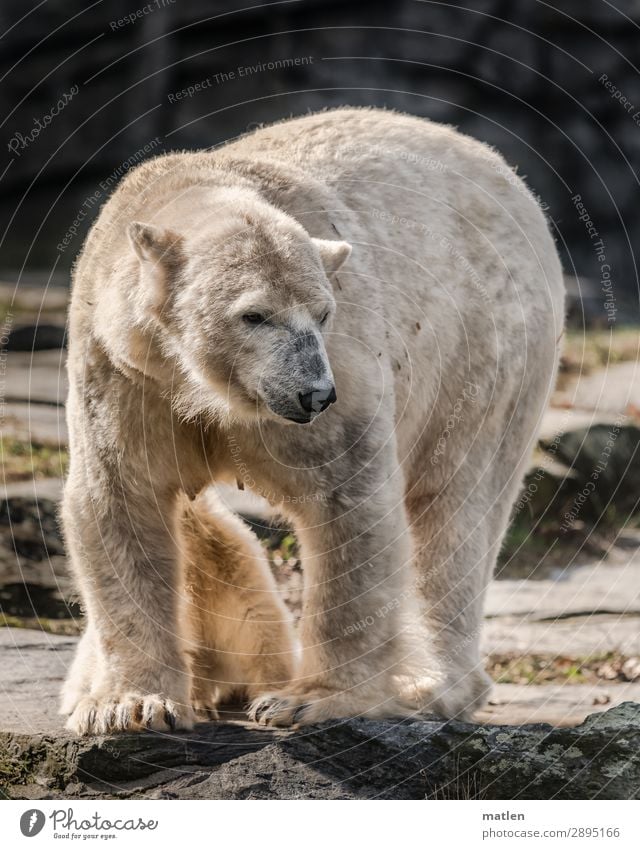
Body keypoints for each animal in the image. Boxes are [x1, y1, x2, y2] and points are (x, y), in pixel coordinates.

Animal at [58, 106, 560, 732]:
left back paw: (427, 687)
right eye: (253, 315)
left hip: (482, 354)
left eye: (323, 313)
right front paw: (129, 705)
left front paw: (308, 699)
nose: (314, 394)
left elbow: (346, 502)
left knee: (453, 507)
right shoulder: (125, 372)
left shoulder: (344, 366)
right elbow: (122, 501)